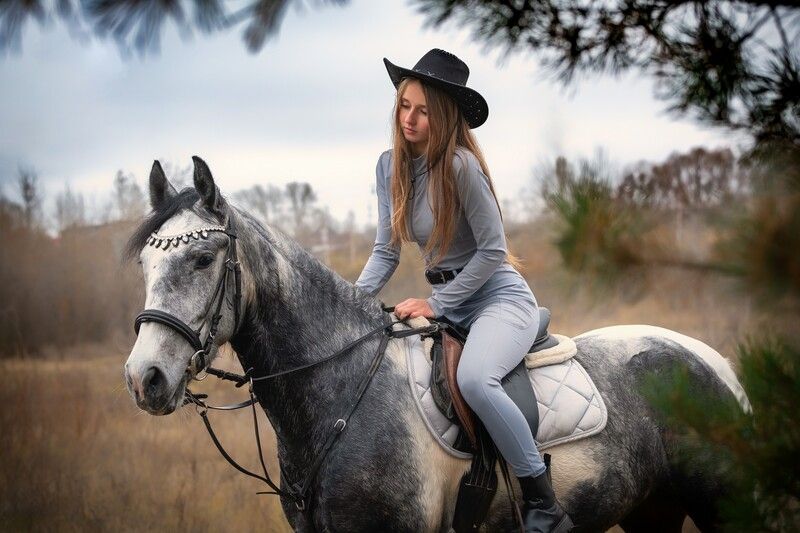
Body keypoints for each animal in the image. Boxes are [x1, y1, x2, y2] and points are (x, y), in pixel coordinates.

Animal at [124, 156, 751, 532]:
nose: (144, 378)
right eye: (145, 264)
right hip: (653, 508)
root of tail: (712, 361)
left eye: (204, 258)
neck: (340, 393)